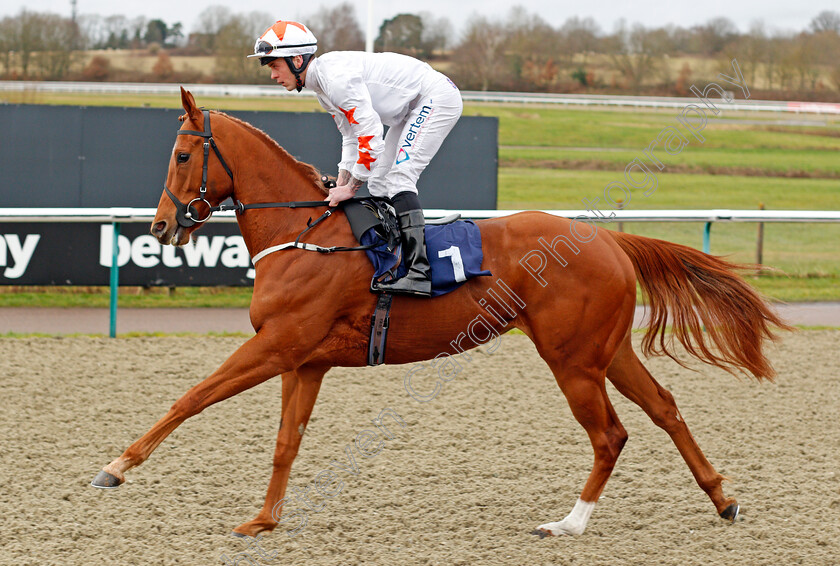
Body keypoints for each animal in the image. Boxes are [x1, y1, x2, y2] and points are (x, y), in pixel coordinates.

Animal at [95, 87, 792, 536]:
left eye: (182, 156)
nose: (160, 227)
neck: (303, 235)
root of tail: (606, 239)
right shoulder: (305, 360)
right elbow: (286, 442)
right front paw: (264, 520)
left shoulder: (277, 345)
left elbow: (192, 397)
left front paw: (115, 468)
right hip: (605, 350)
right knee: (665, 408)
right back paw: (722, 499)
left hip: (571, 359)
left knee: (610, 434)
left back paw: (569, 523)